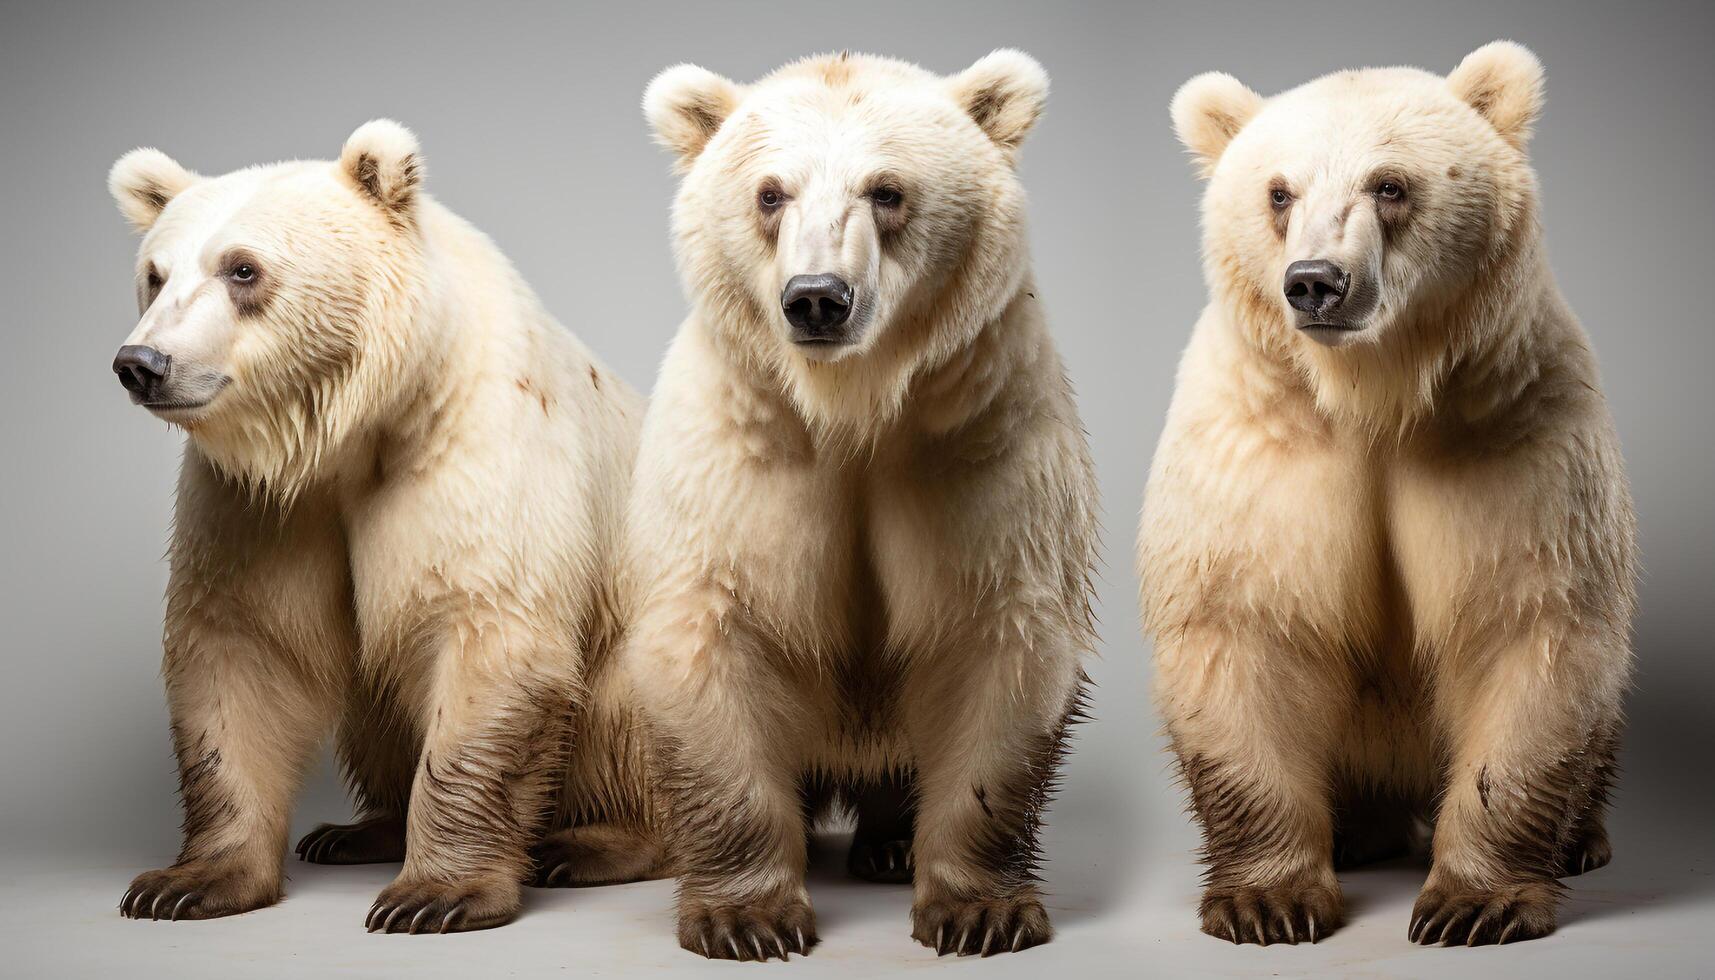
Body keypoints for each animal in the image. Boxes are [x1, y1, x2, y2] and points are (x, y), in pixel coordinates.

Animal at [103, 119, 658, 933]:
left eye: (242, 268)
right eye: (154, 273)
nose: (142, 362)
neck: (359, 426)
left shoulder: (474, 451)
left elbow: (486, 633)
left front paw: (434, 894)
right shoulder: (263, 504)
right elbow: (240, 649)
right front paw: (185, 883)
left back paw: (591, 843)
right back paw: (356, 831)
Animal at [631, 49, 1097, 961]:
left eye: (886, 190)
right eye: (769, 193)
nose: (817, 296)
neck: (851, 405)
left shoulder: (979, 441)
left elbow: (998, 642)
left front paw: (978, 911)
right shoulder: (738, 449)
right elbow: (713, 634)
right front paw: (746, 918)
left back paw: (886, 841)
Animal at [1145, 40, 1639, 954]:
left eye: (1388, 184)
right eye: (1278, 191)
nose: (1314, 282)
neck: (1372, 394)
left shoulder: (1510, 423)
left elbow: (1527, 624)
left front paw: (1472, 903)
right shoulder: (1259, 441)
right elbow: (1242, 627)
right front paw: (1269, 901)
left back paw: (1581, 838)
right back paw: (1357, 833)